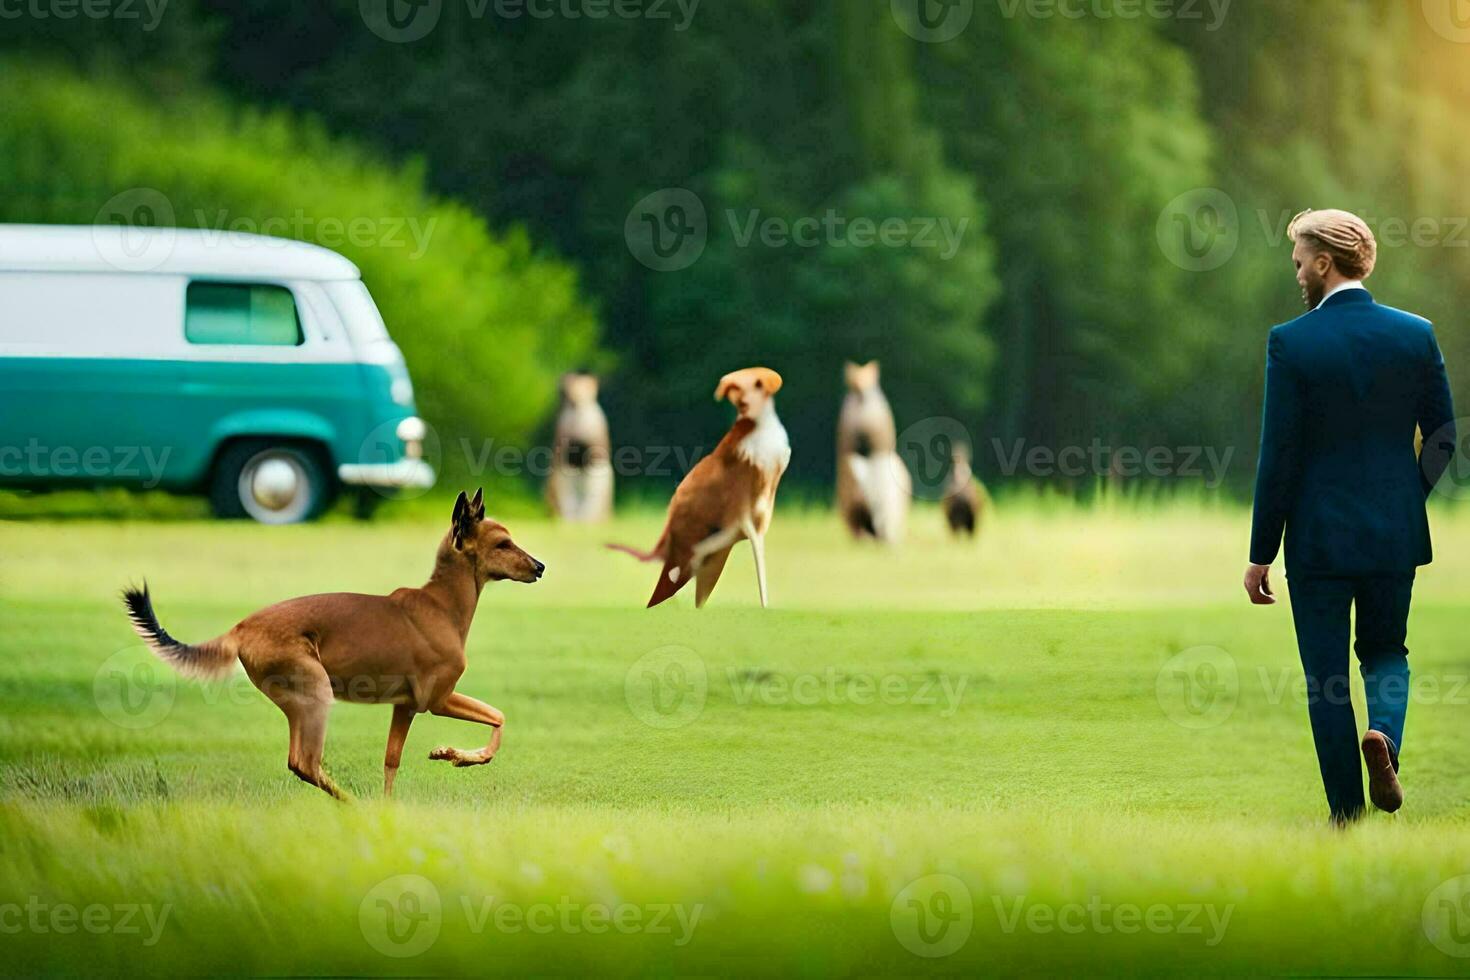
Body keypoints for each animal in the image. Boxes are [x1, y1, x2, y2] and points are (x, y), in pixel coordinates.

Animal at [120, 490, 543, 805]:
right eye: (503, 543)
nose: (540, 566)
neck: (441, 606)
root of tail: (239, 629)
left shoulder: (405, 706)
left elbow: (391, 761)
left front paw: (400, 800)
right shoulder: (436, 699)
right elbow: (499, 717)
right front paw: (457, 756)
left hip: (299, 701)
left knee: (298, 762)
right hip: (316, 693)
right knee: (304, 762)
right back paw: (352, 803)